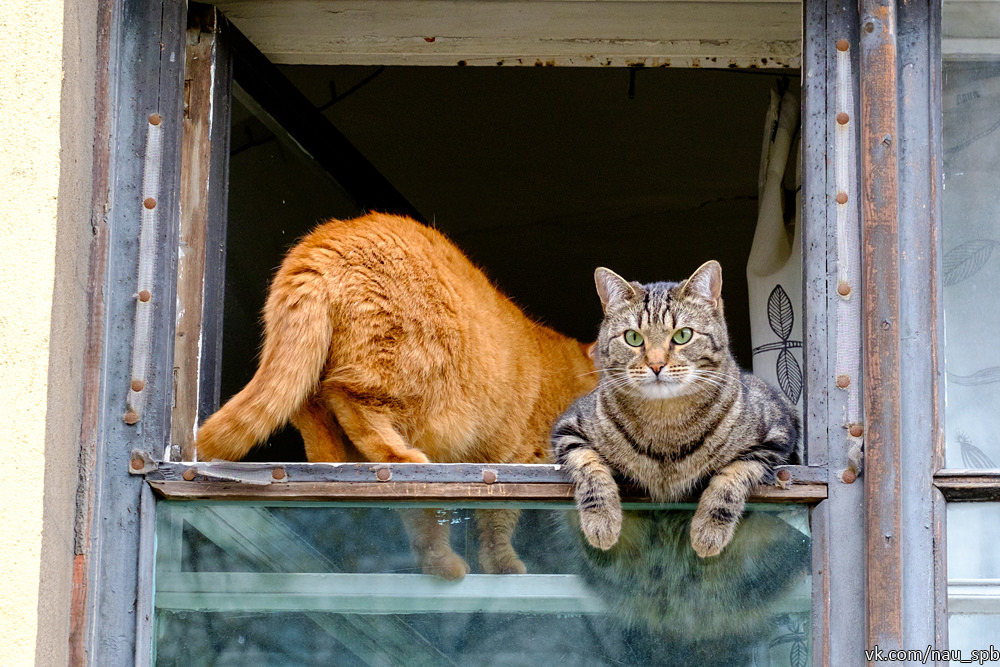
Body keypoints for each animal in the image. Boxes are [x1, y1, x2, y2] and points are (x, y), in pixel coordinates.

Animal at [198, 215, 596, 580]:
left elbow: (423, 522)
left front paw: (438, 563)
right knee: (349, 400)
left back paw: (331, 462)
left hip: (313, 376)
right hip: (408, 377)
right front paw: (502, 566)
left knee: (316, 421)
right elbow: (497, 522)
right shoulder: (513, 457)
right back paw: (399, 455)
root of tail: (328, 238)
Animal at [552, 260, 800, 560]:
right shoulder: (569, 429)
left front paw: (708, 531)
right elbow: (590, 468)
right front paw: (601, 522)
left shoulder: (777, 433)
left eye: (683, 335)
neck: (665, 423)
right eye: (633, 338)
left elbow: (733, 476)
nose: (656, 364)